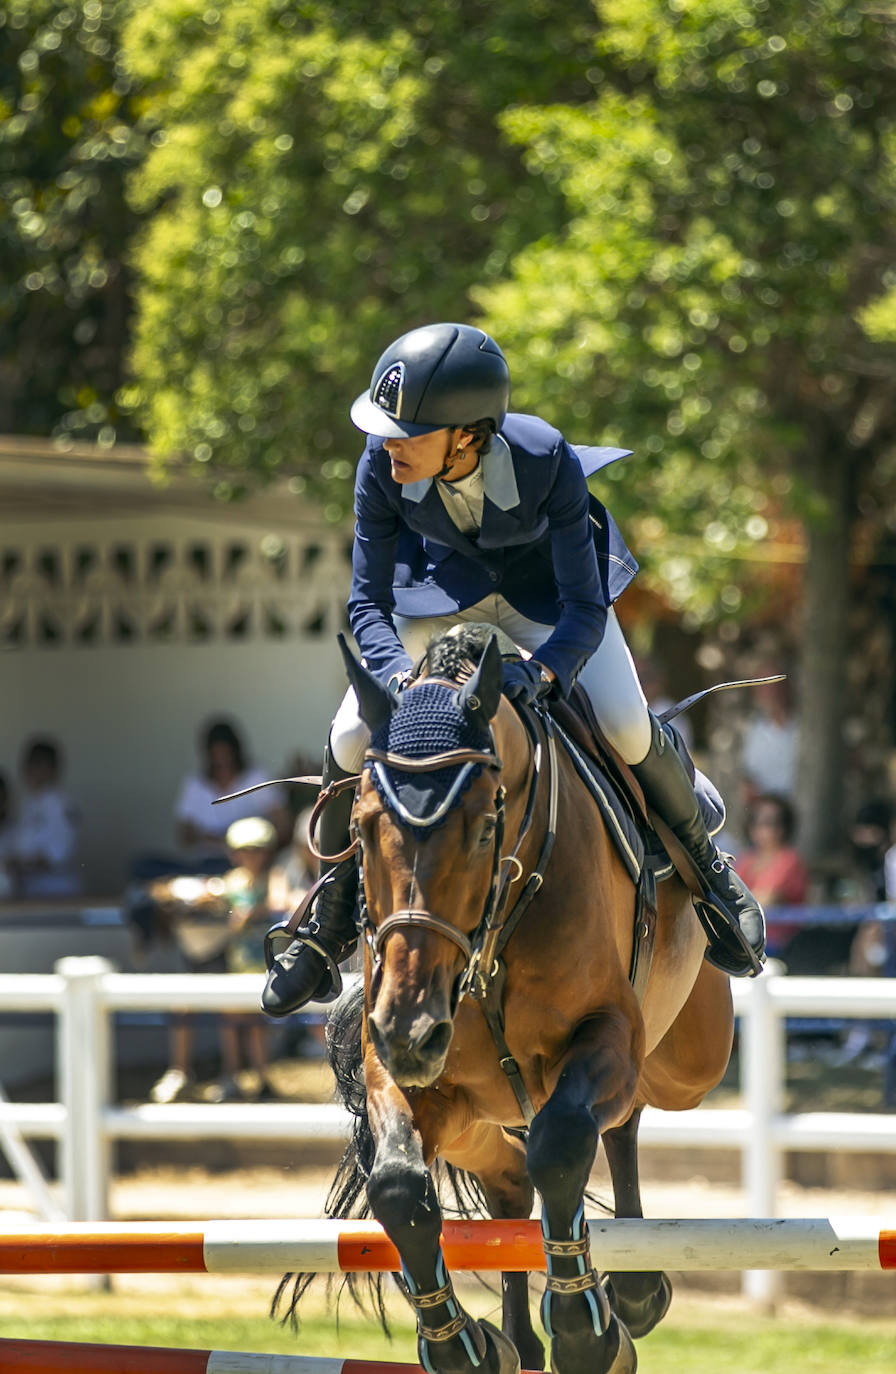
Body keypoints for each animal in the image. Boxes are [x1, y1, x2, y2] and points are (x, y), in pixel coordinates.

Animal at [281, 629, 736, 1374]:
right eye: (362, 825)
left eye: (482, 828)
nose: (411, 1030)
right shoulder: (402, 1076)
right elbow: (399, 1186)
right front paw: (458, 1345)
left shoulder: (608, 1033)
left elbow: (564, 1142)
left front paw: (586, 1329)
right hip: (480, 1120)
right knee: (509, 1190)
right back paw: (515, 1341)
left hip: (688, 1061)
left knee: (618, 1120)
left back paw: (634, 1296)